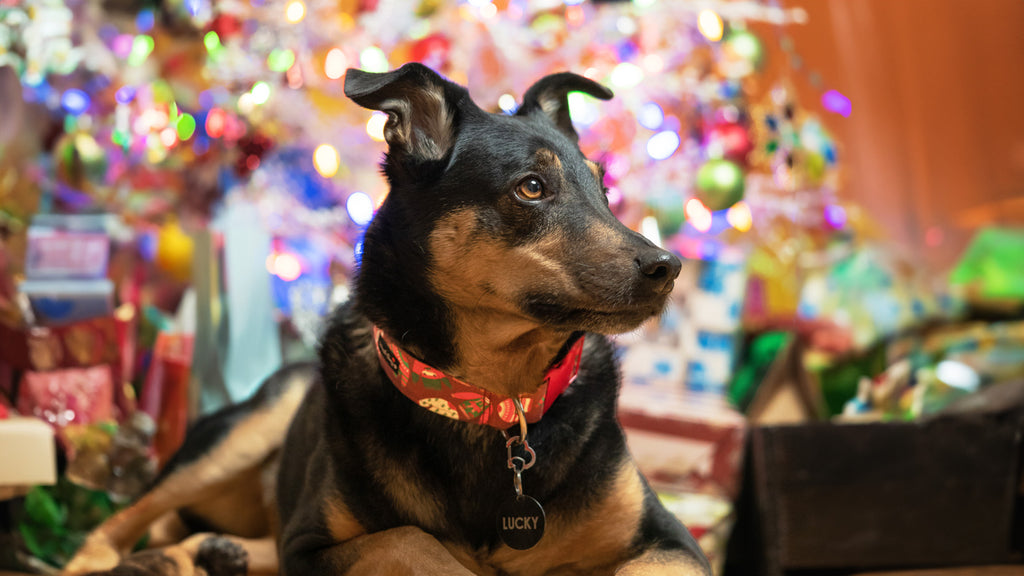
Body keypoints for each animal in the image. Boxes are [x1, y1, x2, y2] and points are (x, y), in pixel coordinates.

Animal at [59, 63, 708, 573]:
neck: (494, 402)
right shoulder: (310, 547)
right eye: (531, 187)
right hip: (245, 428)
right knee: (126, 518)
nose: (668, 267)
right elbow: (415, 543)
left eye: (604, 190)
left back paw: (211, 555)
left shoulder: (670, 542)